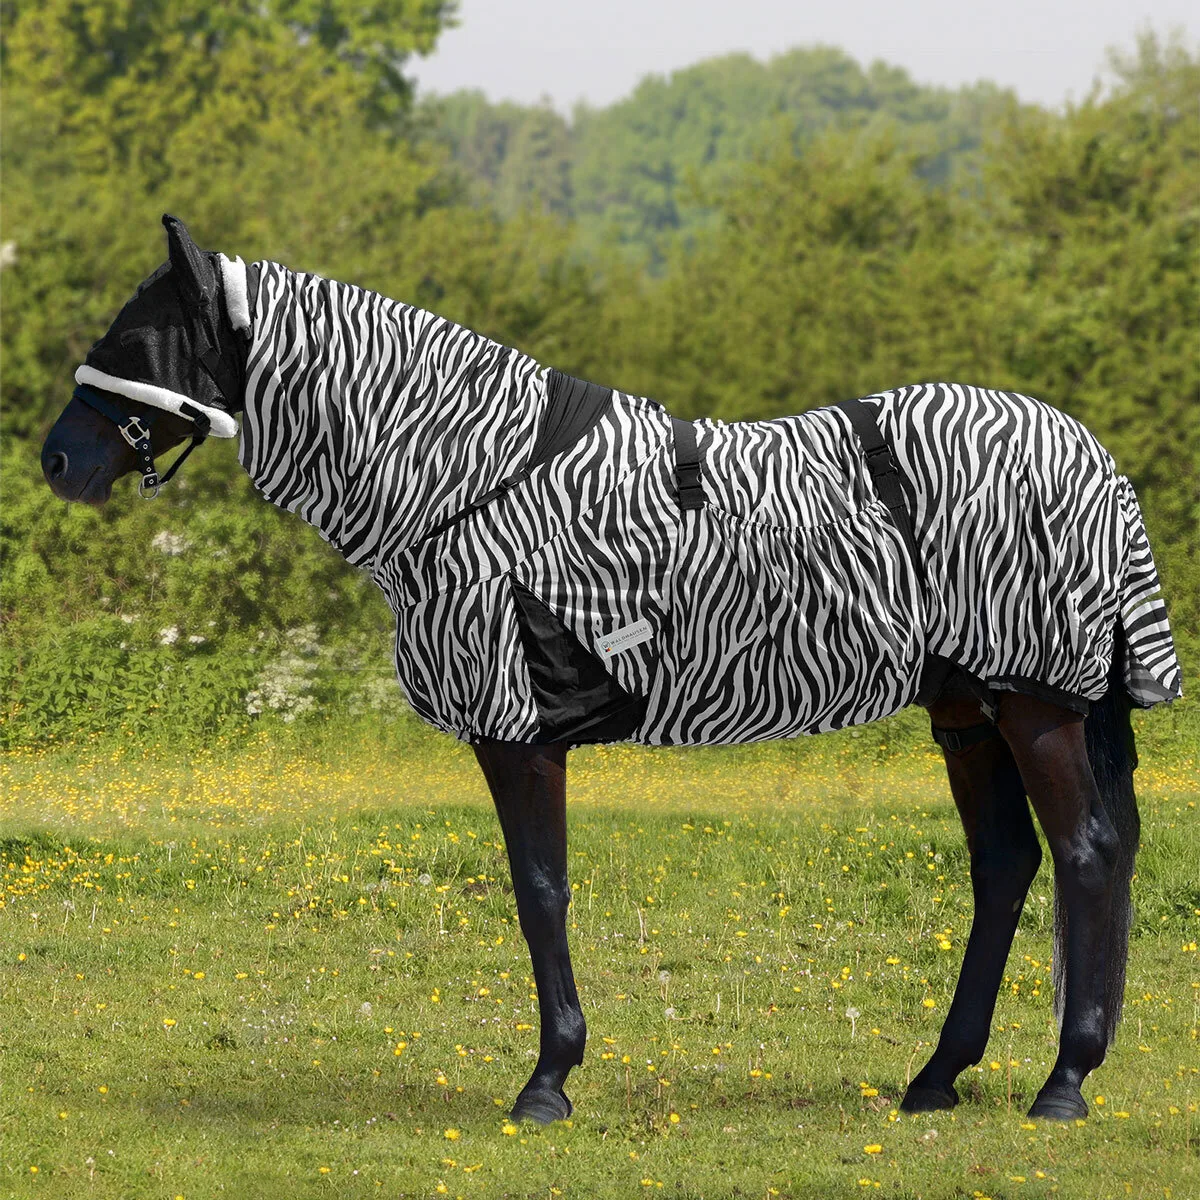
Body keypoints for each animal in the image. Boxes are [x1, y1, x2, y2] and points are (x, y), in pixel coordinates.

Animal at [43, 215, 1182, 1125]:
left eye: (135, 340)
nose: (57, 460)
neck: (467, 481)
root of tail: (1092, 458)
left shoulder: (517, 731)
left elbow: (540, 889)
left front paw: (548, 1081)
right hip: (967, 710)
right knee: (1007, 865)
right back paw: (938, 1077)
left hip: (1034, 705)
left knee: (1086, 855)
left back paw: (1064, 1084)